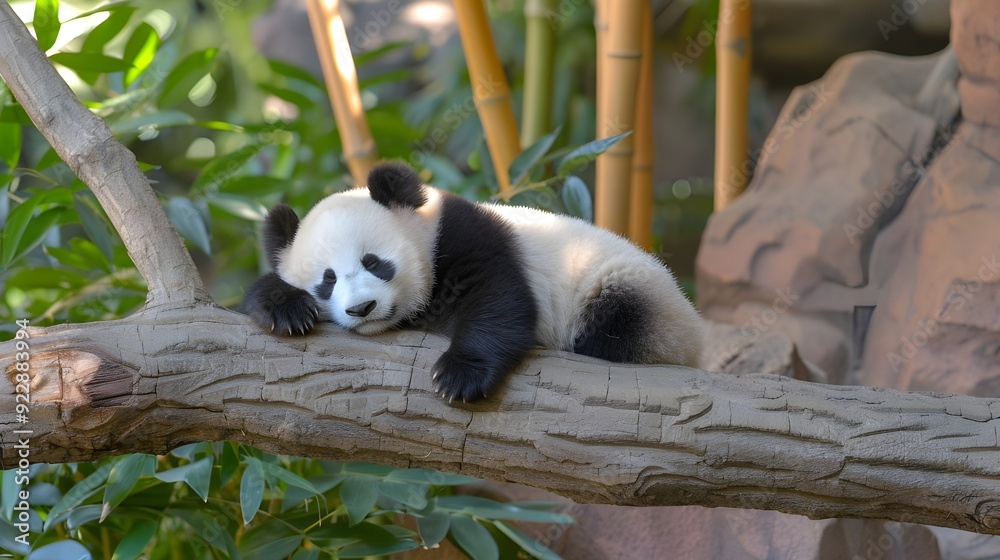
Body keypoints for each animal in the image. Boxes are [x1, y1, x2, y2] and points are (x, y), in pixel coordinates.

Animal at [242, 161, 704, 402]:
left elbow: (499, 301)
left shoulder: (466, 238)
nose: (361, 309)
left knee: (620, 317)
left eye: (374, 262)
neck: (427, 228)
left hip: (629, 287)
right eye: (327, 280)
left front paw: (458, 377)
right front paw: (286, 308)